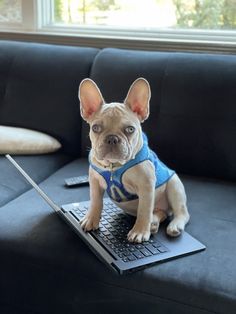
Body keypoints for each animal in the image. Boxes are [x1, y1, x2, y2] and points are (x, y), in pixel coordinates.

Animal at [78, 78, 189, 243]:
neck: (113, 166)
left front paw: (140, 231)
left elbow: (144, 210)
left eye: (130, 129)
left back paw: (174, 225)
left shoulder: (146, 186)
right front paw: (91, 219)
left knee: (181, 212)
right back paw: (154, 223)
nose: (112, 138)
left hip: (174, 186)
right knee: (160, 212)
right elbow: (95, 202)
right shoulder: (95, 182)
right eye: (95, 128)